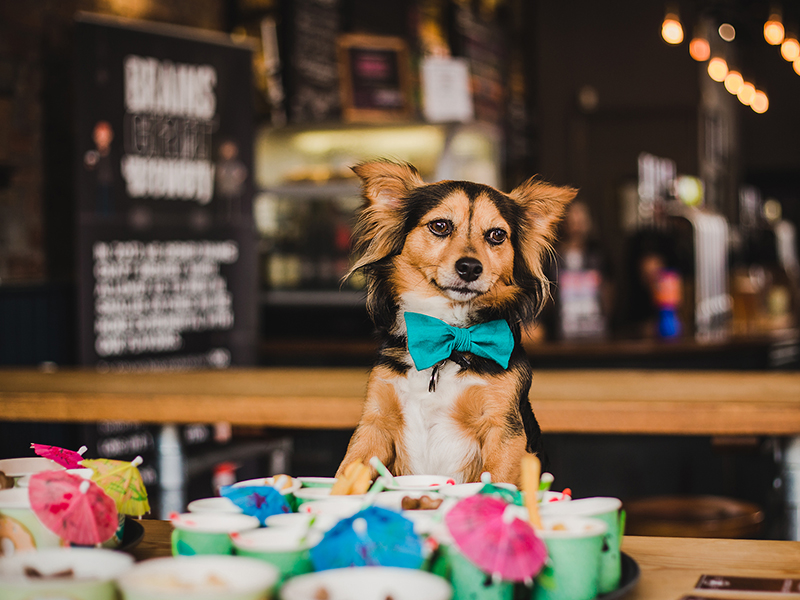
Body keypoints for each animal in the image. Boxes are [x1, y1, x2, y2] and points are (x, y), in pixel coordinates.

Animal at [338, 161, 576, 488]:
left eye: (497, 235)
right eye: (440, 226)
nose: (470, 268)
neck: (449, 337)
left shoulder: (504, 430)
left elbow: (496, 480)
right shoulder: (374, 424)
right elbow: (346, 475)